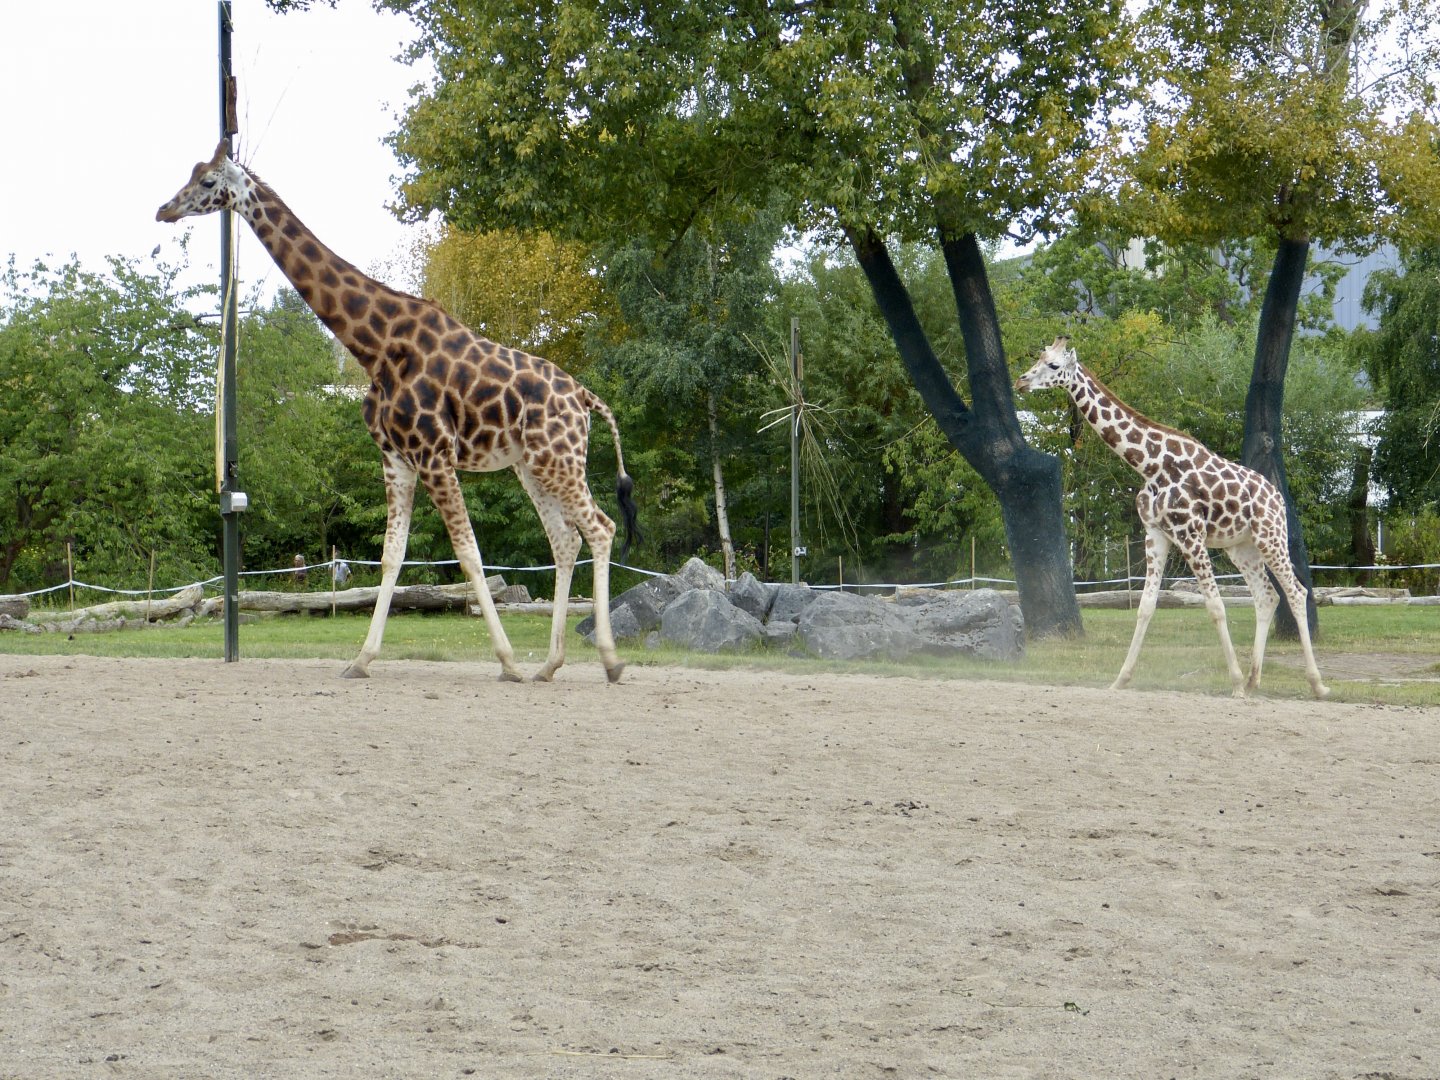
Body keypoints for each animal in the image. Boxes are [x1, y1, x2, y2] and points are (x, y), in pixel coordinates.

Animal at [157, 140, 639, 684]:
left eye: (206, 181)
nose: (164, 209)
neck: (377, 346)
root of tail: (584, 398)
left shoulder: (434, 453)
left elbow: (468, 555)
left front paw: (509, 662)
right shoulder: (395, 457)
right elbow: (392, 556)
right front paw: (361, 660)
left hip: (559, 458)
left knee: (600, 528)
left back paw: (609, 661)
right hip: (531, 465)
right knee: (565, 541)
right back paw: (552, 665)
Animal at [1015, 336, 1328, 700]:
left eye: (1053, 365)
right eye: (1039, 357)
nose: (1021, 381)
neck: (1150, 465)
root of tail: (1276, 497)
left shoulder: (1190, 534)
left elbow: (1215, 606)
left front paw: (1234, 684)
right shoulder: (1156, 533)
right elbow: (1146, 606)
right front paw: (1120, 680)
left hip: (1270, 536)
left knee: (1296, 592)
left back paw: (1316, 684)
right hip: (1241, 548)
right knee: (1267, 596)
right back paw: (1254, 680)